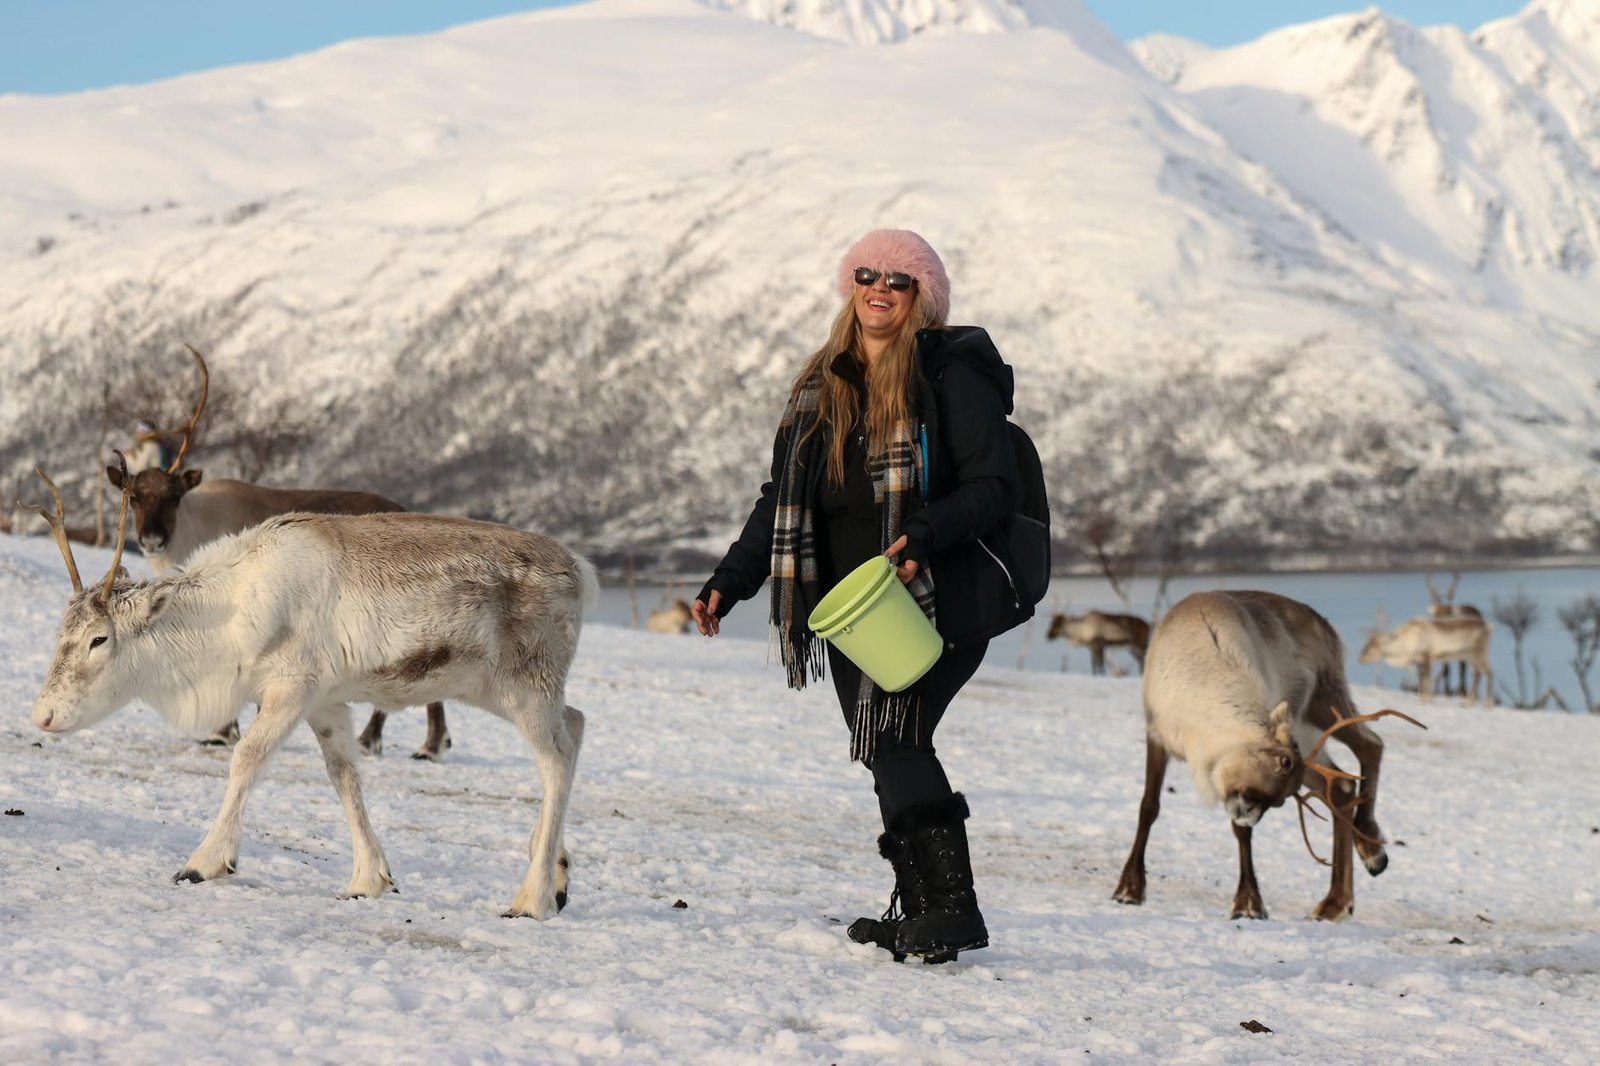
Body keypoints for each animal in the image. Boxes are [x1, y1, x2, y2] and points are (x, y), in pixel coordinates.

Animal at [25, 461, 594, 918]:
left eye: (99, 638)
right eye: (61, 633)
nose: (43, 715)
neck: (227, 620)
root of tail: (582, 572)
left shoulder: (292, 687)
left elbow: (246, 758)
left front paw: (203, 862)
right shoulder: (328, 701)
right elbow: (344, 778)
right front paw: (368, 879)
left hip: (525, 684)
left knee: (558, 755)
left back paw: (532, 898)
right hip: (503, 690)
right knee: (578, 720)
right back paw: (560, 877)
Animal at [105, 346, 452, 759]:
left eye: (173, 496)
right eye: (134, 497)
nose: (152, 539)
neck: (193, 528)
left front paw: (224, 733)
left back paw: (418, 744)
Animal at [1113, 590, 1423, 921]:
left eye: (1281, 801)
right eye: (1283, 763)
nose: (1248, 813)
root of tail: (1326, 626)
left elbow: (1240, 834)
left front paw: (1248, 903)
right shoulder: (1158, 734)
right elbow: (1148, 807)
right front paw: (1129, 888)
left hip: (1322, 700)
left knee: (1370, 745)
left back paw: (1368, 856)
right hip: (1311, 725)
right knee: (1344, 782)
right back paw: (1340, 897)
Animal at [1359, 613, 1494, 705]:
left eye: (1372, 647)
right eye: (1366, 645)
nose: (1360, 658)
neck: (1405, 645)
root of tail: (1488, 626)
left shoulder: (1426, 657)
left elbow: (1426, 678)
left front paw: (1427, 700)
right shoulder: (1418, 661)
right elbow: (1421, 678)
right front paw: (1421, 699)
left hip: (1478, 654)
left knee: (1489, 672)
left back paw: (1487, 704)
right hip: (1469, 657)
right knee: (1478, 674)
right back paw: (1468, 702)